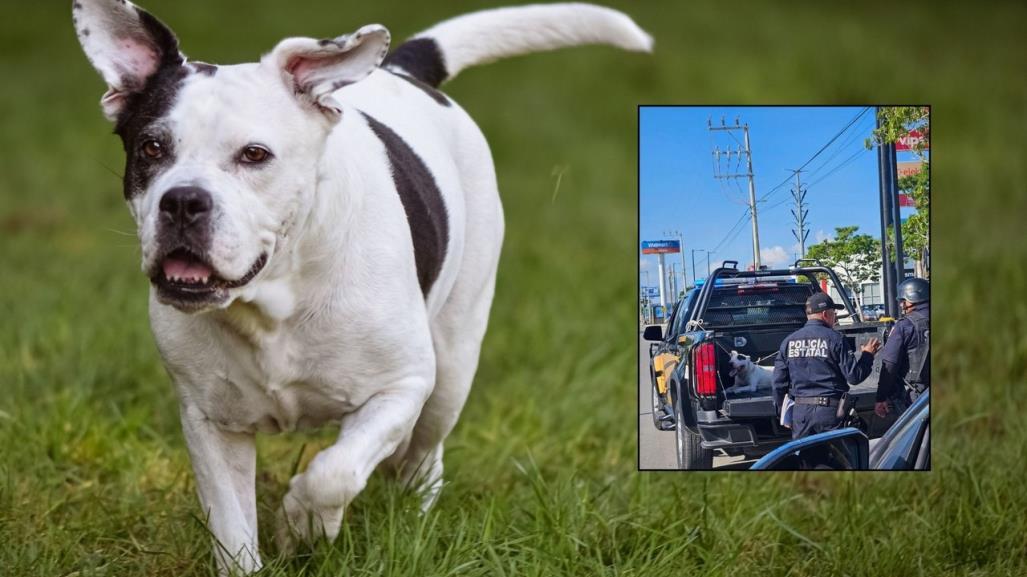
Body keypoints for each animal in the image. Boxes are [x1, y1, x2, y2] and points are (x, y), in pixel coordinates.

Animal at [72, 0, 649, 570]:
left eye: (254, 154)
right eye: (152, 148)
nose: (183, 200)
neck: (274, 300)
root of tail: (402, 70)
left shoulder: (402, 386)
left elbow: (335, 472)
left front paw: (303, 523)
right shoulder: (211, 422)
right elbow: (234, 530)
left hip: (452, 367)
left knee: (423, 454)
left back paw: (410, 515)